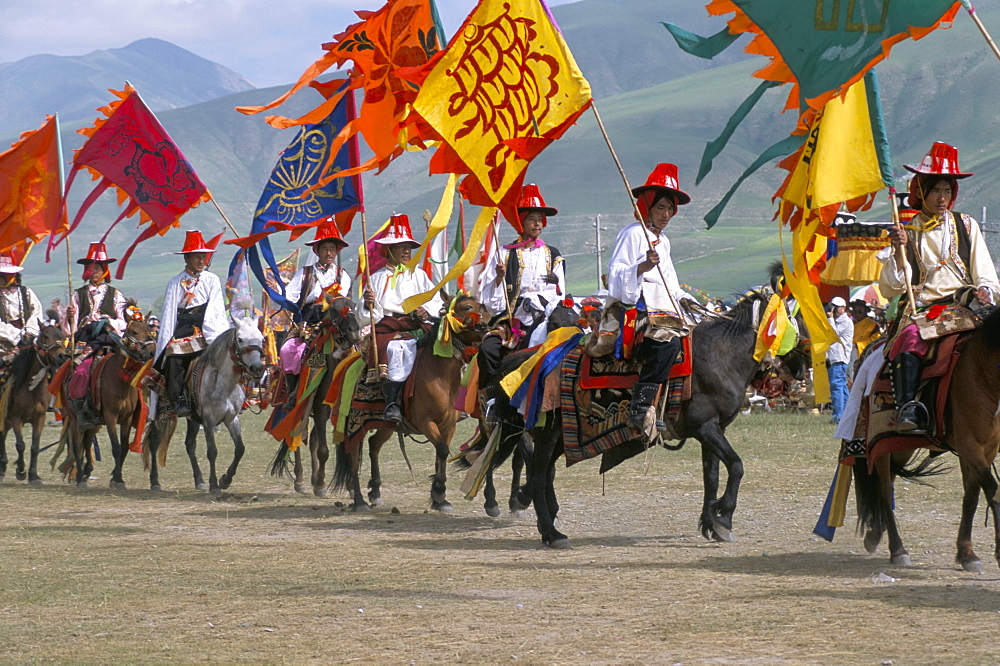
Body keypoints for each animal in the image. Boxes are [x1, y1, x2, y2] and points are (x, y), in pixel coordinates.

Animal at [0, 326, 68, 482]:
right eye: (45, 336)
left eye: (62, 337)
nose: (61, 356)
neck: (31, 390)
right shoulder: (16, 418)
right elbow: (20, 445)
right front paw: (20, 471)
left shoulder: (39, 418)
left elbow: (35, 447)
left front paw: (33, 475)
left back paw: (3, 467)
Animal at [63, 316, 156, 488]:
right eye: (134, 331)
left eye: (150, 330)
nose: (152, 351)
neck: (121, 381)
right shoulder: (110, 416)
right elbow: (116, 447)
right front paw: (118, 480)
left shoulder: (126, 419)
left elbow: (124, 447)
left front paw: (116, 478)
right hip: (74, 419)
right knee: (78, 445)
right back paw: (79, 477)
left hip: (94, 421)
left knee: (87, 441)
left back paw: (87, 472)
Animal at [144, 314, 266, 490]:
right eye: (240, 339)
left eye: (262, 339)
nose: (256, 368)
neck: (224, 385)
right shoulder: (209, 420)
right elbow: (212, 451)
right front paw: (214, 484)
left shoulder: (232, 418)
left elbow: (240, 448)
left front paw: (225, 480)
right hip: (160, 414)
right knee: (153, 443)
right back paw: (155, 482)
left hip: (193, 418)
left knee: (189, 445)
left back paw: (199, 480)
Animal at [332, 294, 488, 510]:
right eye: (467, 307)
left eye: (481, 305)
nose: (487, 324)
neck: (441, 377)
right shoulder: (426, 423)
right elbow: (442, 450)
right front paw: (438, 491)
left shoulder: (449, 425)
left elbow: (441, 454)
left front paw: (440, 499)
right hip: (355, 424)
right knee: (353, 455)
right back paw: (360, 500)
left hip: (385, 425)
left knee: (374, 445)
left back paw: (375, 491)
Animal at [856, 304, 1000, 568]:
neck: (983, 373)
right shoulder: (970, 445)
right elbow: (993, 490)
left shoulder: (987, 447)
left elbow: (972, 495)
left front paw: (966, 553)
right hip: (881, 443)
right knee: (884, 491)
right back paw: (897, 550)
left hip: (899, 446)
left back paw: (875, 535)